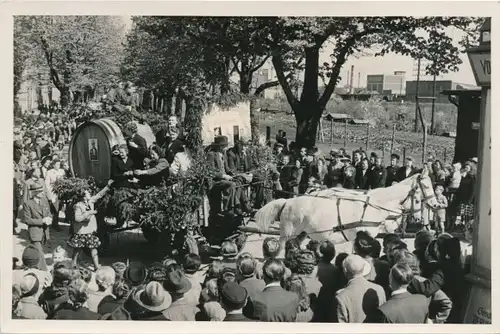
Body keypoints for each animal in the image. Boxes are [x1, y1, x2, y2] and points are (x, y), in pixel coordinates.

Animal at [256, 170, 440, 250]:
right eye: (425, 187)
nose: (436, 205)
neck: (375, 205)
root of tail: (287, 201)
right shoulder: (365, 235)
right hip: (288, 233)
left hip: (301, 233)